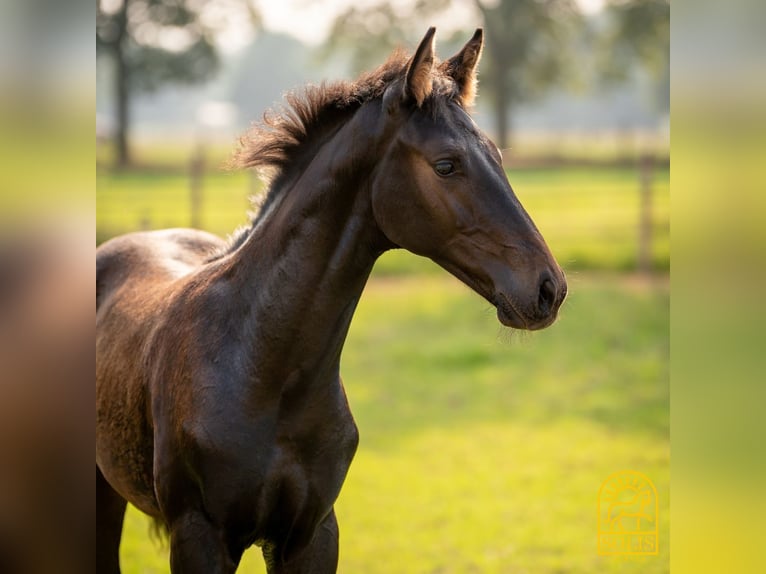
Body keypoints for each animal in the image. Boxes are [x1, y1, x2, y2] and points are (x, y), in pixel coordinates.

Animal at [96, 28, 568, 574]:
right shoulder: (200, 536)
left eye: (496, 154)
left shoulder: (312, 534)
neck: (263, 369)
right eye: (446, 165)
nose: (549, 288)